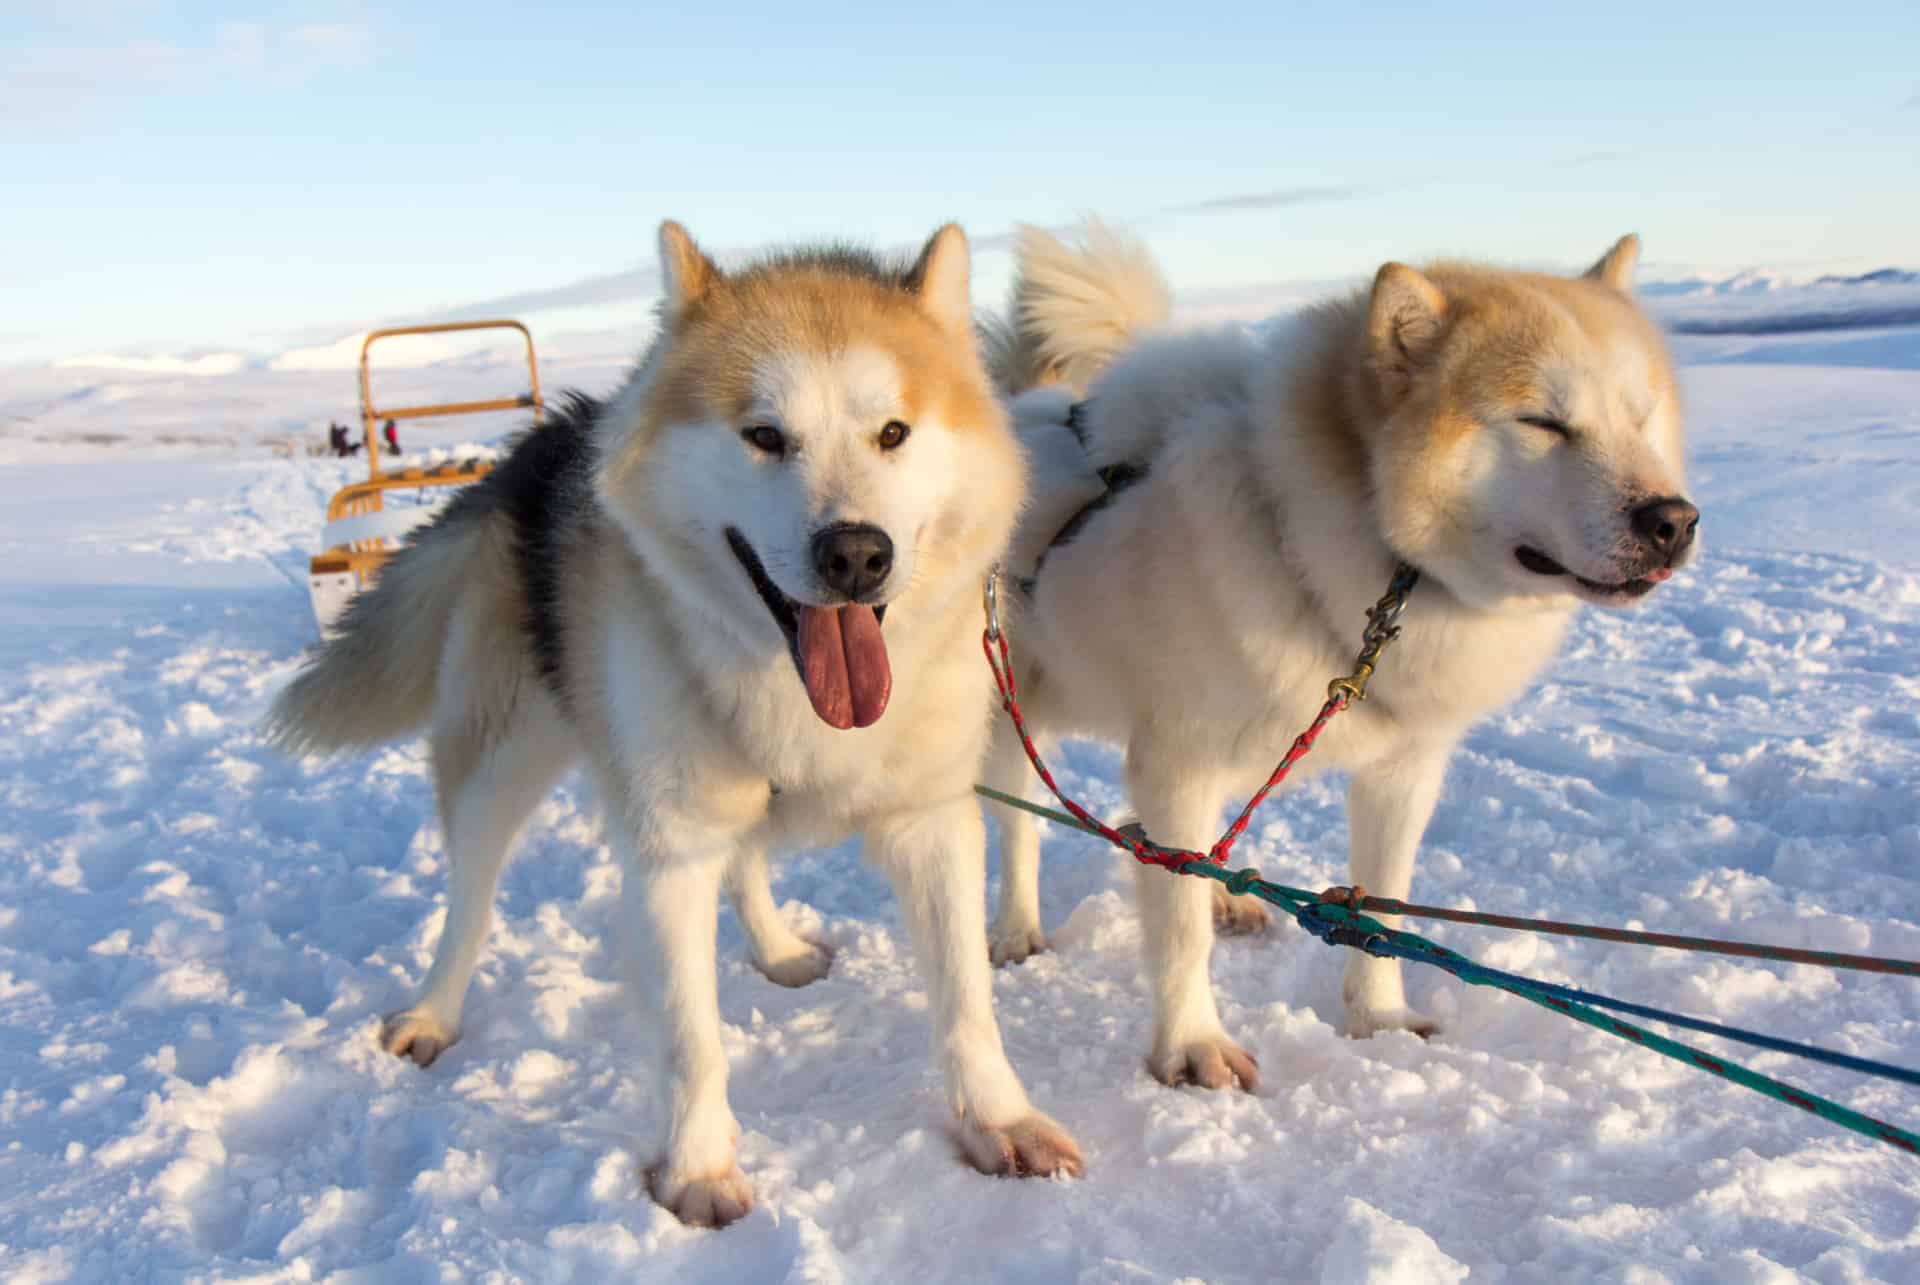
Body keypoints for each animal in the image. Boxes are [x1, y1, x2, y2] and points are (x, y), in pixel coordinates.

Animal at [270, 218, 1082, 1221]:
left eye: (893, 432)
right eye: (764, 435)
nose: (856, 554)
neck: (794, 691)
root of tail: (539, 444)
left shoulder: (930, 822)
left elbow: (967, 1001)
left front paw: (999, 1119)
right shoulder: (668, 851)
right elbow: (693, 1038)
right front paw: (697, 1169)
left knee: (747, 864)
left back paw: (777, 947)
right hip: (502, 761)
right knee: (470, 899)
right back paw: (433, 1011)